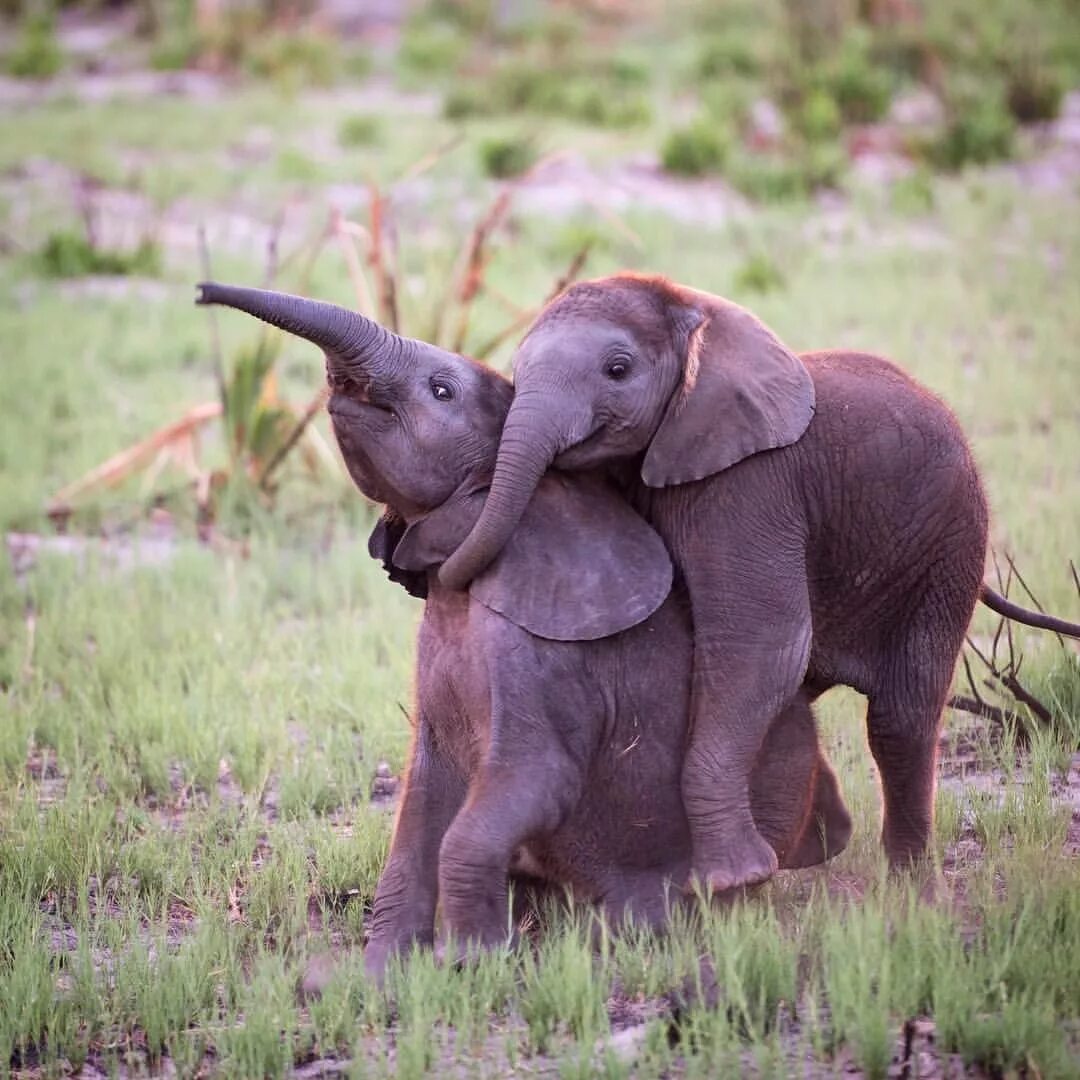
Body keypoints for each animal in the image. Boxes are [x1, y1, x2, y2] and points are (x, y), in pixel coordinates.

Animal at [196, 282, 851, 984]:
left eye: (441, 390)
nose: (203, 292)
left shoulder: (539, 667)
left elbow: (528, 783)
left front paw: (467, 964)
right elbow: (420, 802)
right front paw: (372, 976)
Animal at [438, 272, 1036, 894]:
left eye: (618, 370)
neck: (695, 311)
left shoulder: (749, 485)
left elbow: (760, 644)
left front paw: (728, 881)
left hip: (949, 543)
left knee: (901, 717)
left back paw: (908, 891)